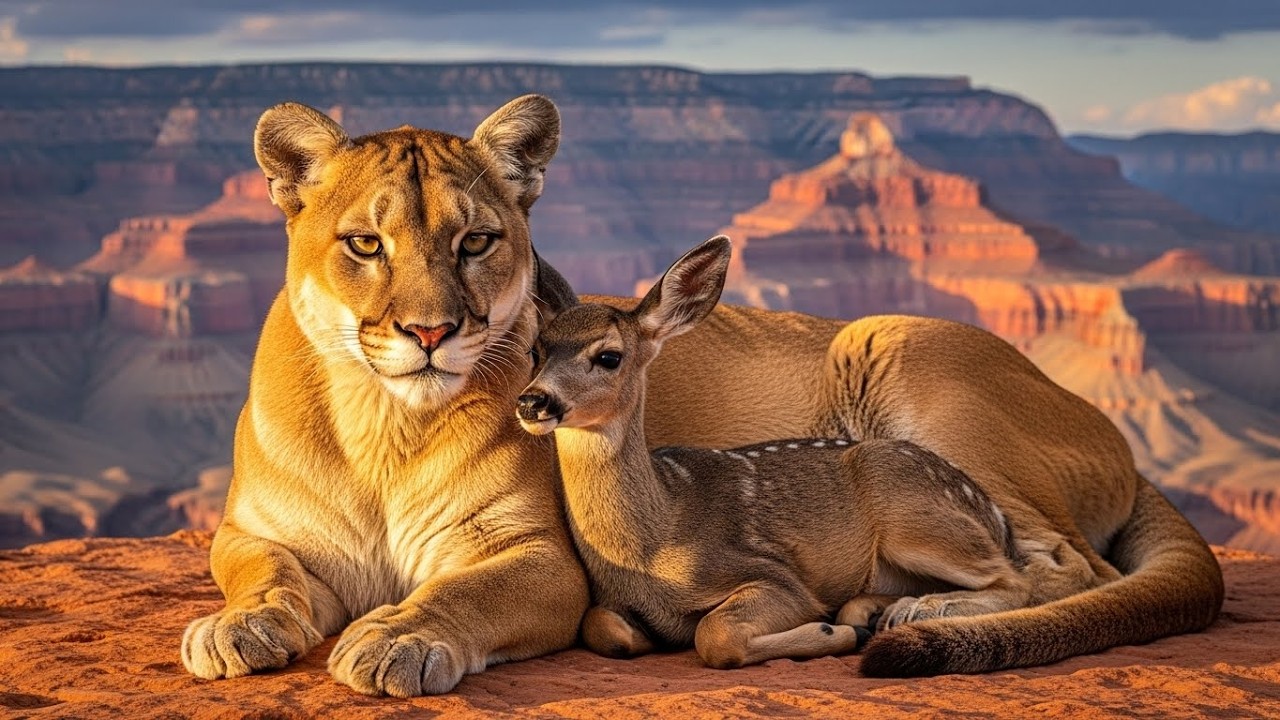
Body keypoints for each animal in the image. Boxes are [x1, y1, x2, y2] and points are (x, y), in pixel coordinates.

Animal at [515, 235, 1031, 669]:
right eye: (537, 351)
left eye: (609, 356)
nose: (532, 401)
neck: (652, 542)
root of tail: (994, 516)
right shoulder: (613, 605)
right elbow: (600, 626)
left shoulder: (772, 574)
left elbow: (714, 634)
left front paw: (828, 633)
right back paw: (872, 612)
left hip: (910, 510)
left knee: (1020, 580)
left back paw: (899, 615)